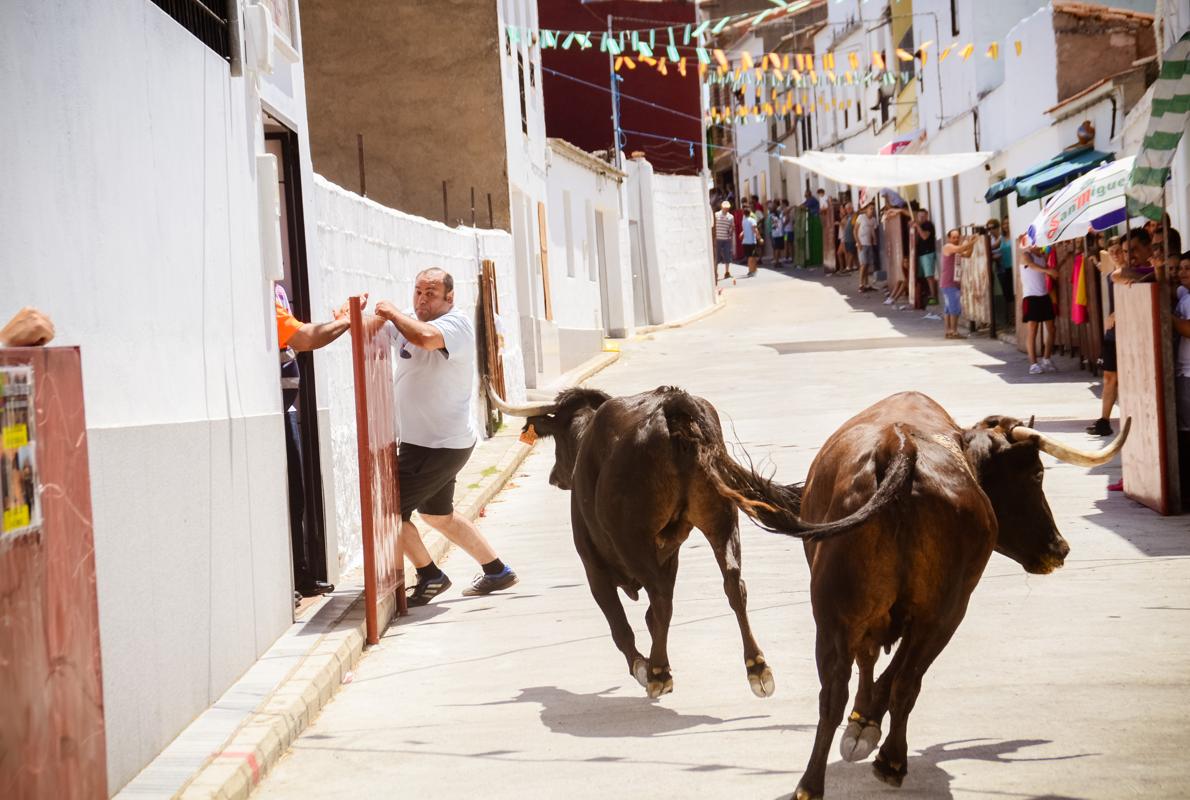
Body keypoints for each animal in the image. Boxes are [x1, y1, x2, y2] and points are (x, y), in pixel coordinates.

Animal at [487, 385, 913, 700]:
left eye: (557, 438)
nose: (555, 477)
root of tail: (671, 404)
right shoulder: (669, 552)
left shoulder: (594, 562)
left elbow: (622, 625)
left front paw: (642, 666)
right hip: (720, 517)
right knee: (733, 584)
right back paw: (757, 668)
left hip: (638, 537)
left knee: (663, 599)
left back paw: (659, 672)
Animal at [785, 392, 1128, 800]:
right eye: (1036, 474)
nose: (1059, 548)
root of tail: (897, 446)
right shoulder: (936, 610)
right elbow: (891, 670)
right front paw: (867, 725)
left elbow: (870, 662)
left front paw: (862, 720)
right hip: (945, 613)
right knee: (906, 681)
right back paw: (892, 762)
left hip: (836, 615)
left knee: (834, 693)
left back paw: (811, 784)